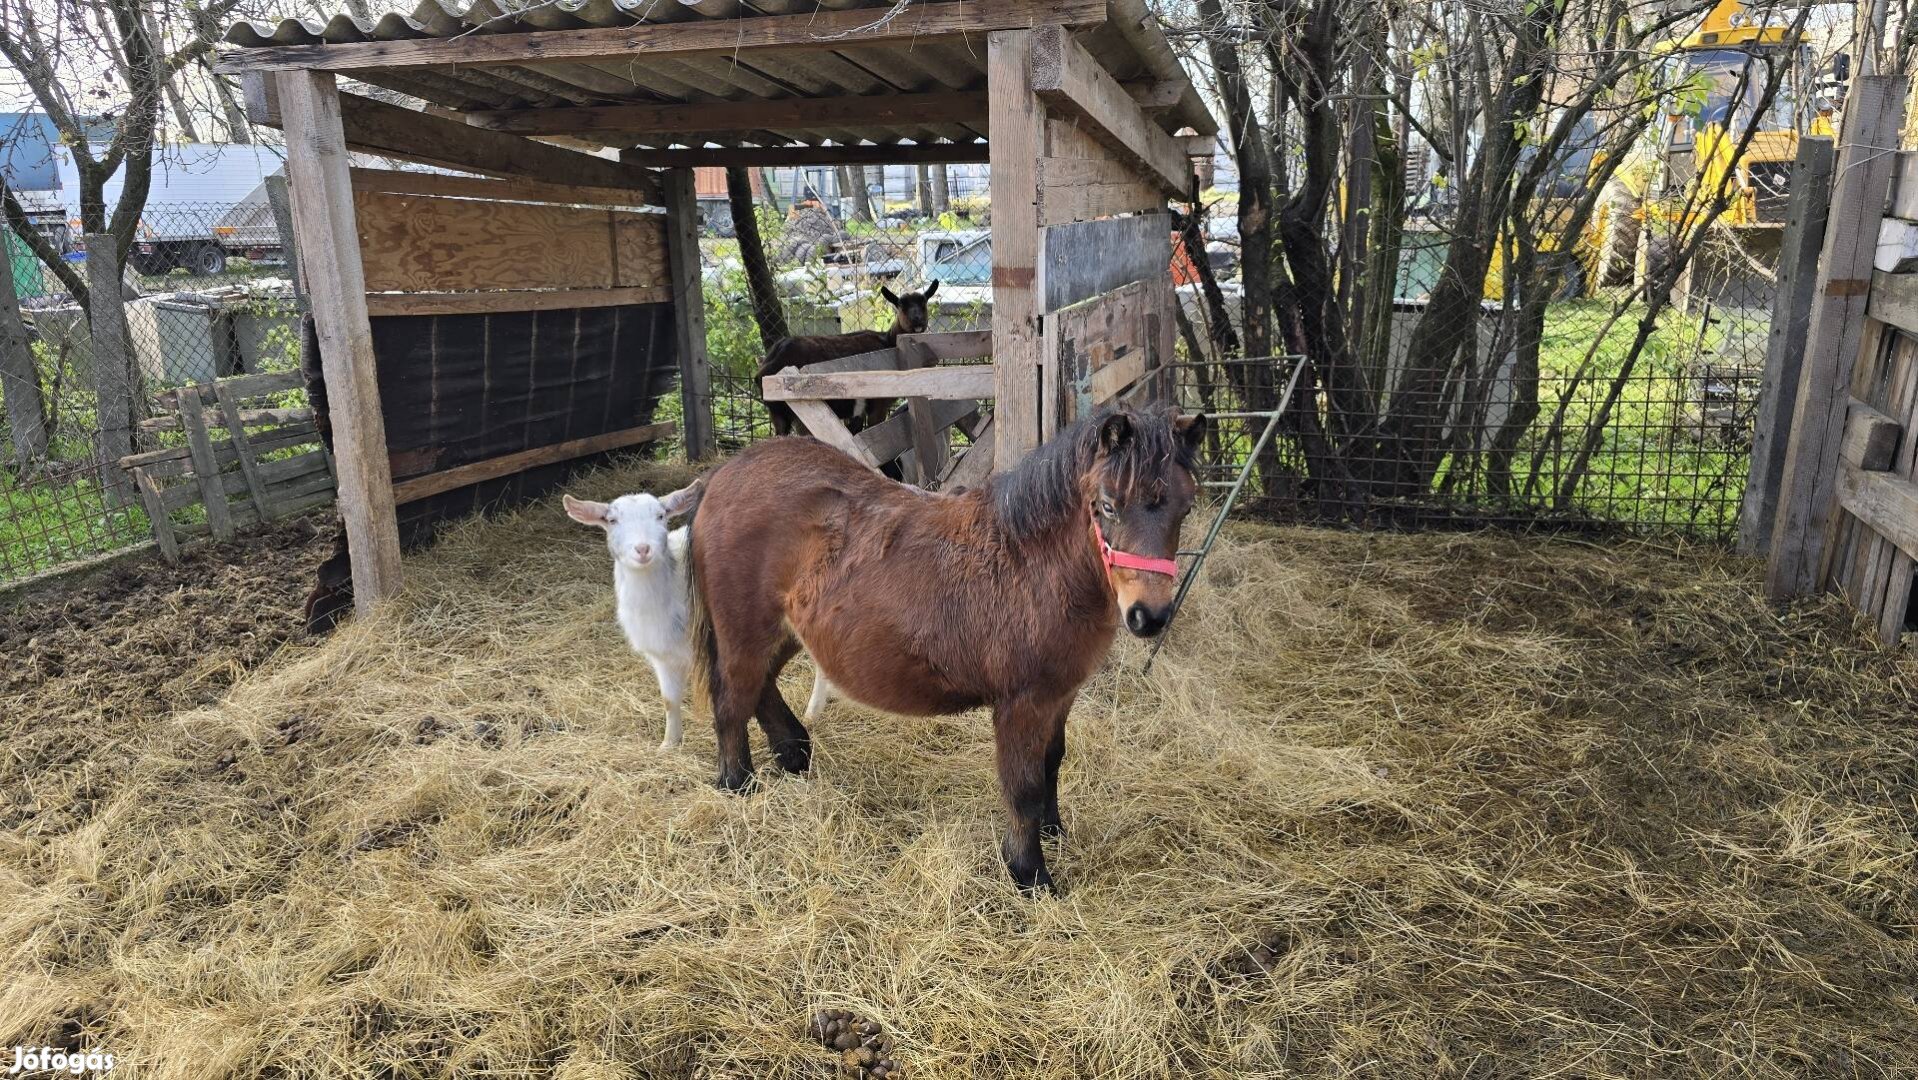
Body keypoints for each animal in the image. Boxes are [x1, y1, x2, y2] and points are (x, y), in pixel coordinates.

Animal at [686, 406, 1196, 897]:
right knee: (732, 700)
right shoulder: (1023, 703)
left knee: (760, 686)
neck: (1033, 564)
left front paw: (1053, 832)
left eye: (1186, 507)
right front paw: (1029, 874)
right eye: (1108, 504)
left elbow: (1052, 761)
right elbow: (1024, 786)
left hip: (785, 631)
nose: (1149, 616)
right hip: (744, 631)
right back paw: (738, 785)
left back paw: (793, 754)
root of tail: (722, 474)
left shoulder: (1060, 694)